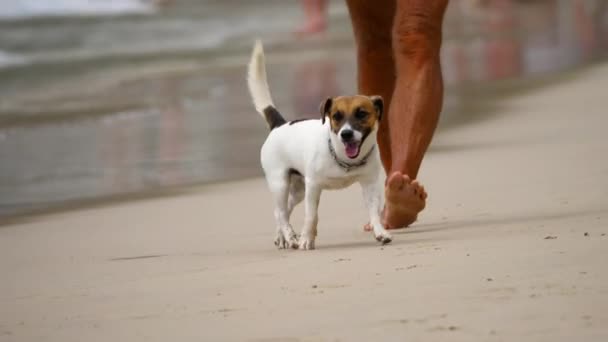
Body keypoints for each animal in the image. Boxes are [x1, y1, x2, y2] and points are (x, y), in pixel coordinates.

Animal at [246, 40, 392, 250]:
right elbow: (311, 216)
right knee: (281, 212)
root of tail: (279, 125)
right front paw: (307, 239)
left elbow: (374, 212)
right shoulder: (313, 186)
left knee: (282, 211)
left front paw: (380, 232)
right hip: (280, 182)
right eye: (336, 116)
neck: (341, 157)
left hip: (299, 189)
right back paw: (290, 236)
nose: (346, 134)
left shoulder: (369, 184)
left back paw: (282, 236)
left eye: (362, 114)